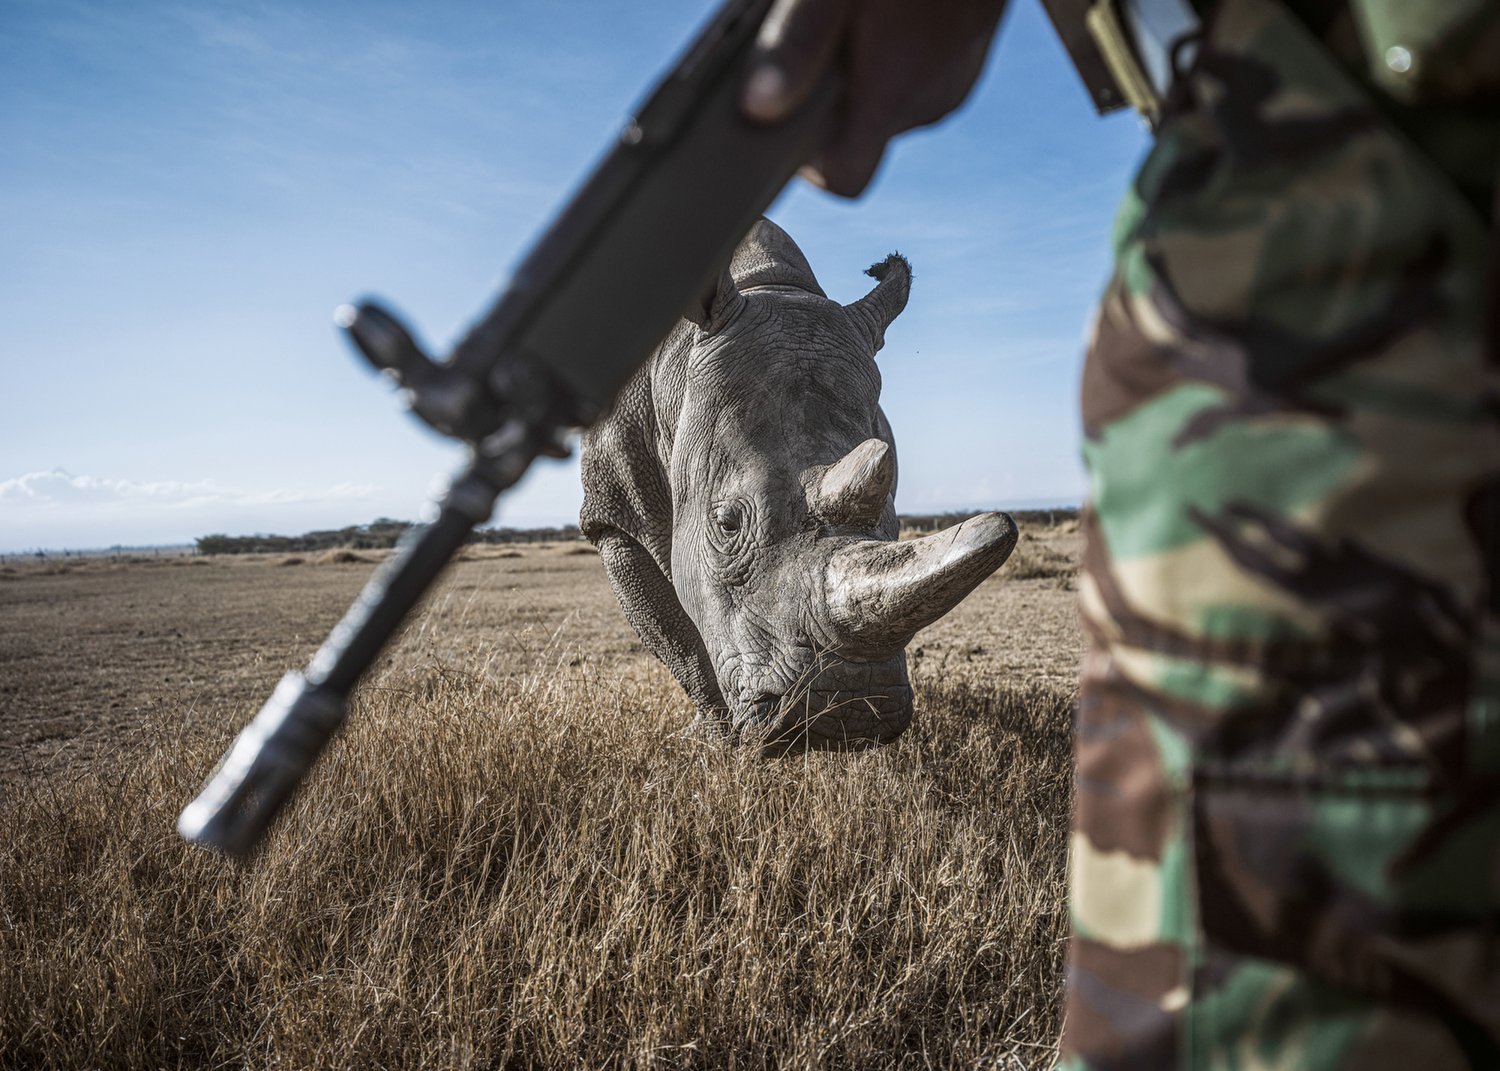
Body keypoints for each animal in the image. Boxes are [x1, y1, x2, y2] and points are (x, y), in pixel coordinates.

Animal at [580, 219, 1017, 748]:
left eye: (893, 523)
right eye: (727, 524)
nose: (849, 714)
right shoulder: (612, 519)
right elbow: (679, 642)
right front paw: (719, 743)